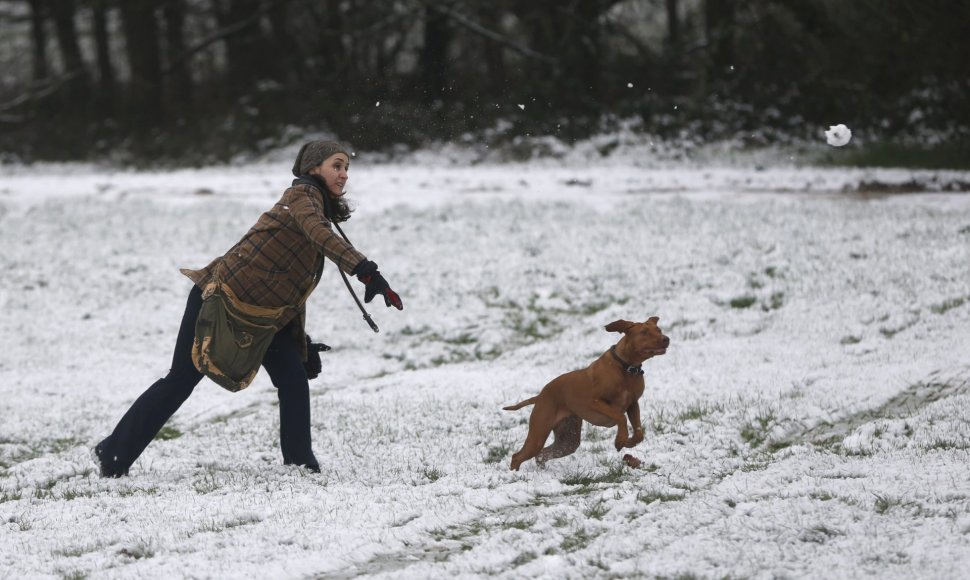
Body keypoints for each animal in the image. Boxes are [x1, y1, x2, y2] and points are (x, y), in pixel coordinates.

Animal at [500, 318, 664, 472]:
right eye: (644, 332)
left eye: (659, 330)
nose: (666, 339)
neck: (625, 368)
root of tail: (540, 396)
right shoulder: (595, 402)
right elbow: (620, 416)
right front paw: (620, 439)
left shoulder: (633, 403)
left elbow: (639, 432)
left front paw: (628, 441)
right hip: (538, 434)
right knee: (518, 456)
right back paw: (515, 475)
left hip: (567, 441)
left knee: (542, 454)